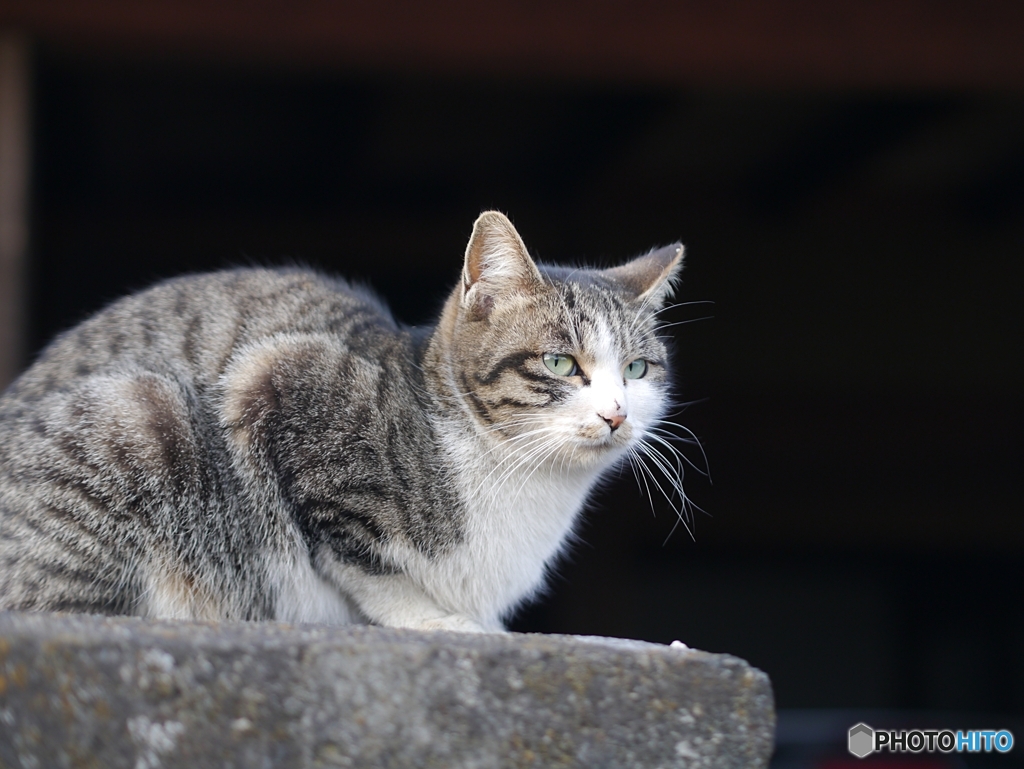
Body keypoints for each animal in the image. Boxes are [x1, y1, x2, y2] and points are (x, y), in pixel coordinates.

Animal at [2, 210, 688, 630]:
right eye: (560, 362)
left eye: (636, 369)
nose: (616, 414)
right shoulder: (277, 384)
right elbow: (361, 560)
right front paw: (440, 619)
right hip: (140, 412)